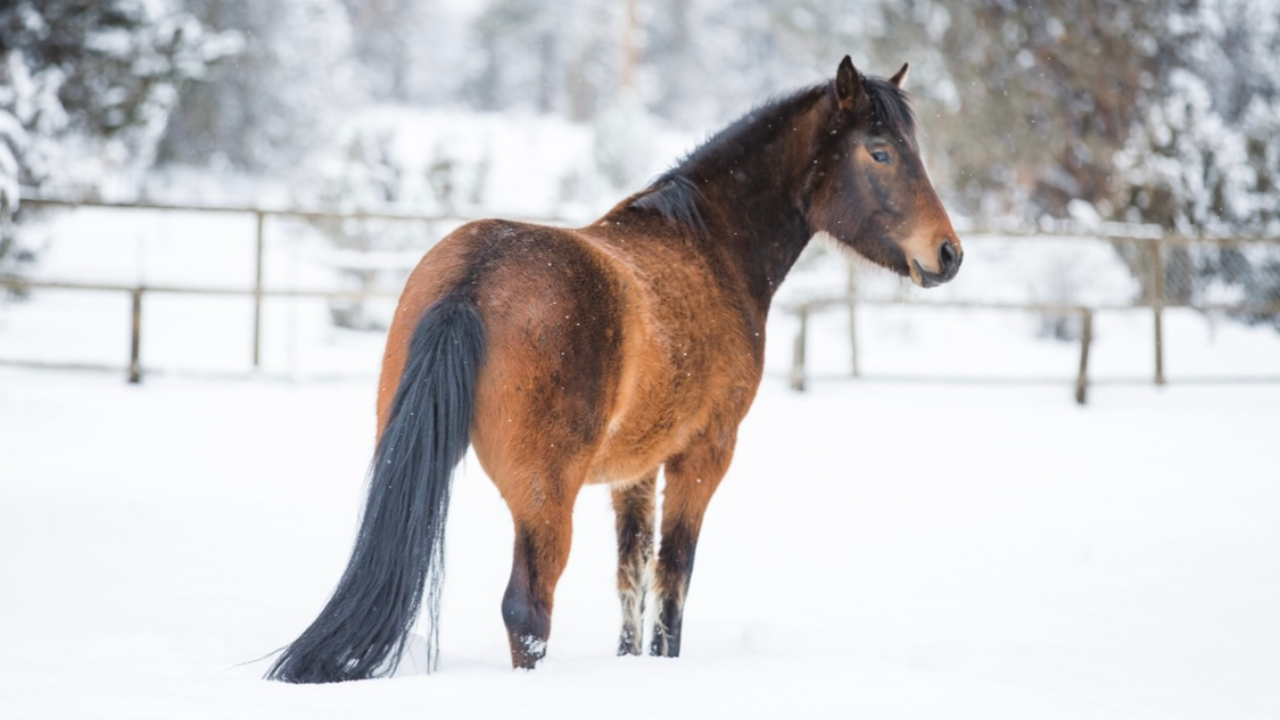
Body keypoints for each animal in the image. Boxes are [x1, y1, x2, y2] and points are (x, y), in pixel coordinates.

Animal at [265, 56, 961, 683]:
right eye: (880, 153)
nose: (948, 253)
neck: (710, 247)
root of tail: (474, 277)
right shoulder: (703, 454)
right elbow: (673, 582)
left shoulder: (635, 470)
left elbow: (632, 578)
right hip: (546, 497)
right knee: (528, 609)